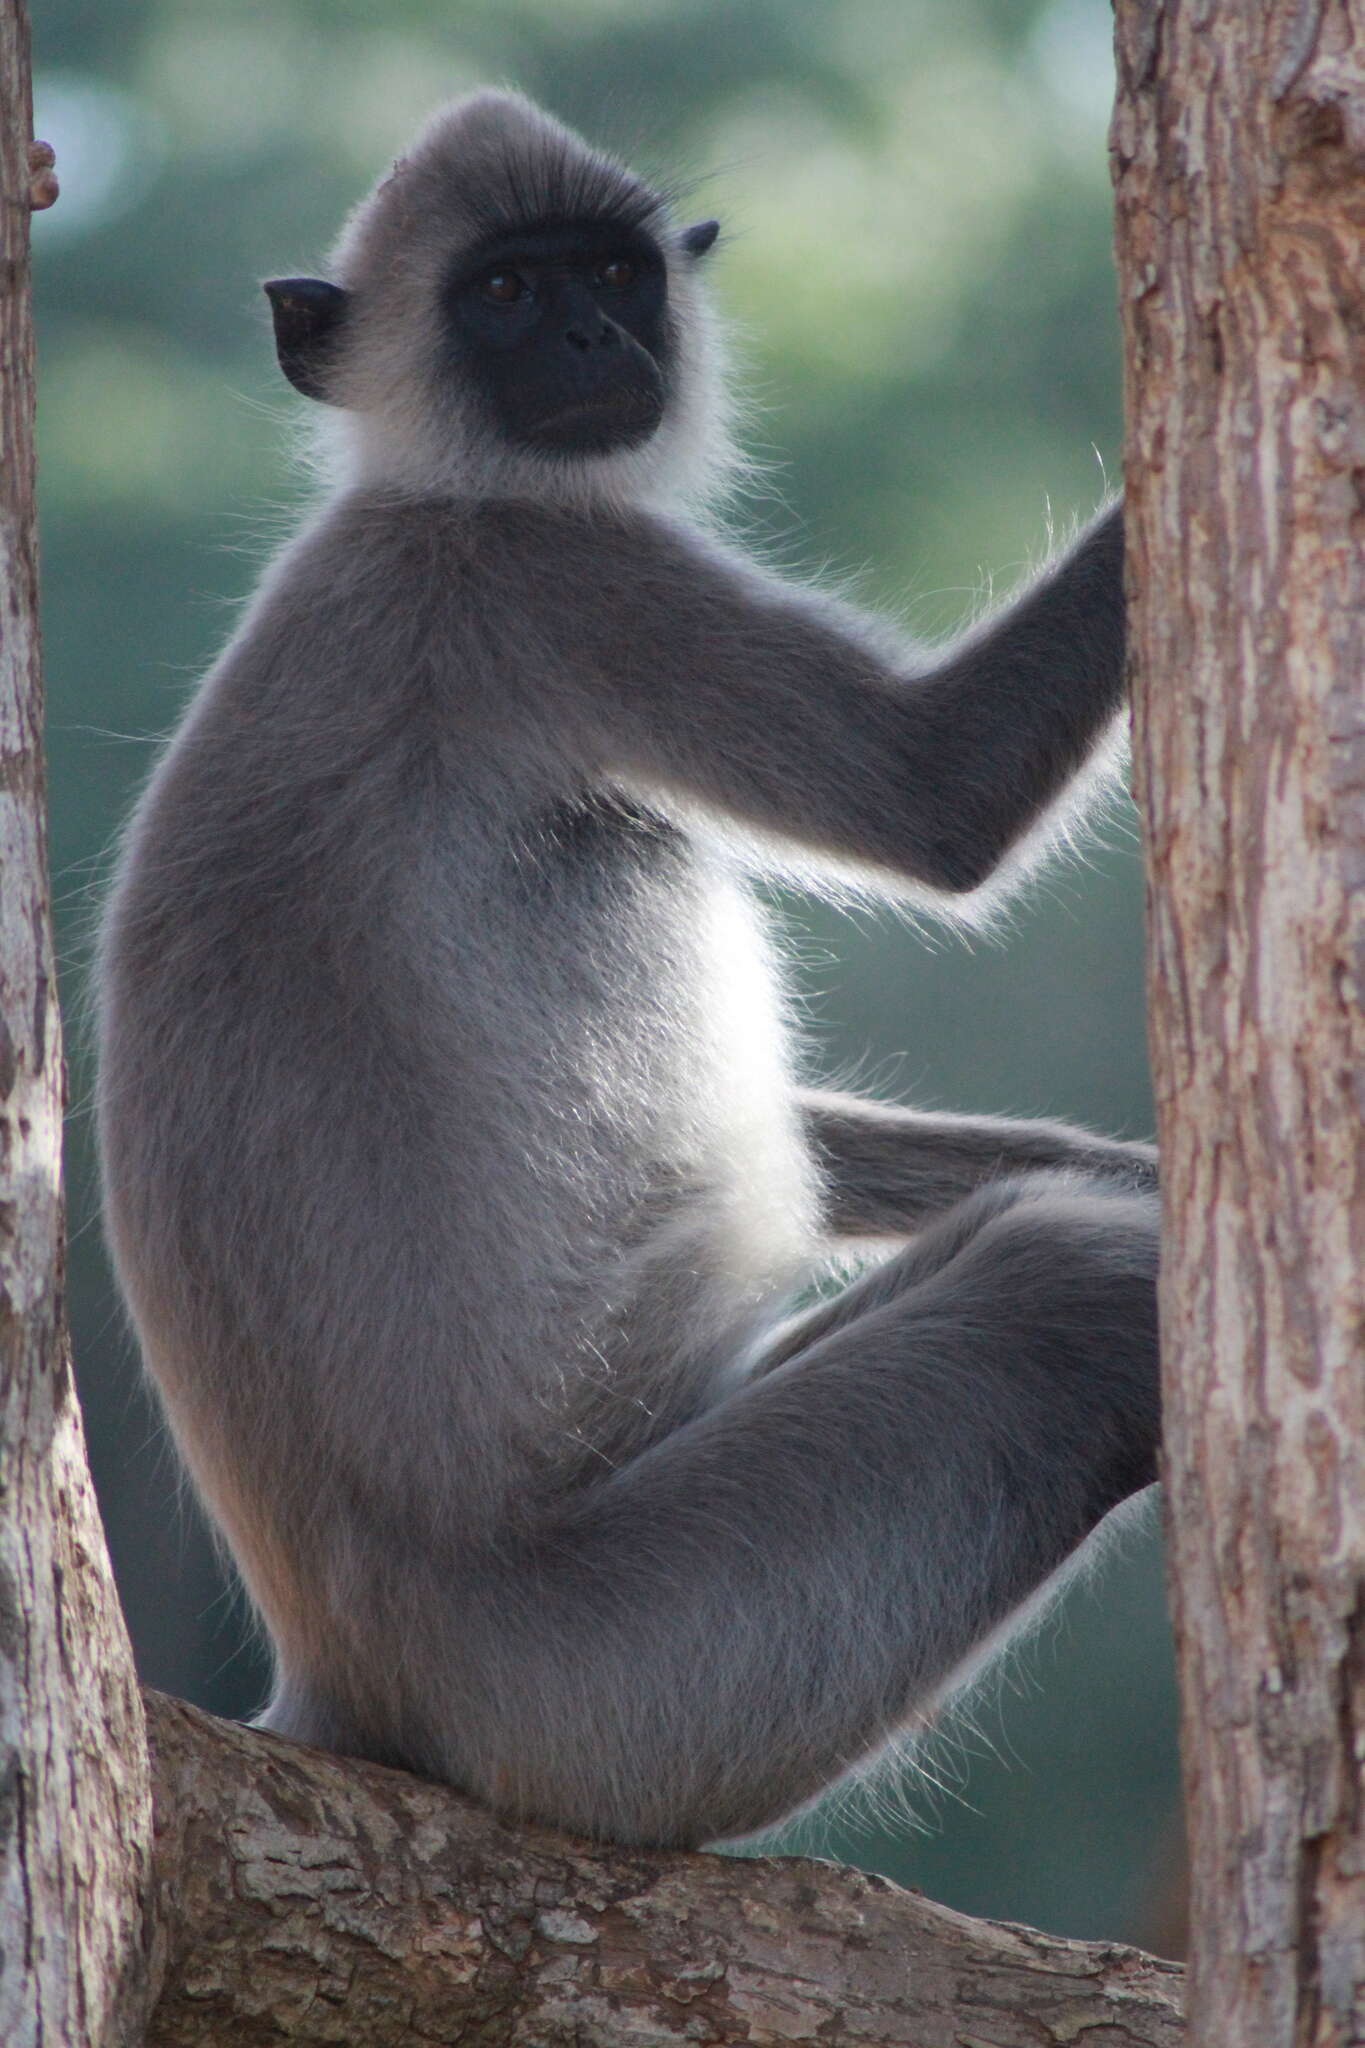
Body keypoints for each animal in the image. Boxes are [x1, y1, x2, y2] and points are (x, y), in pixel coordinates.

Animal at [101, 92, 1162, 1859]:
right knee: (1067, 1296)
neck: (422, 498)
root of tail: (348, 1692)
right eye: (504, 295)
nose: (593, 337)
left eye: (607, 274)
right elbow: (940, 795)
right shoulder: (540, 583)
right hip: (620, 1682)